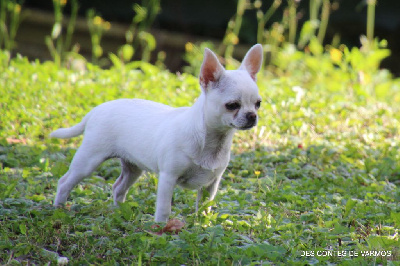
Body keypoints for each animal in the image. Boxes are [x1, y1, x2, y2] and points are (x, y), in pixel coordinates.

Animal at [50, 44, 262, 222]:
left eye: (258, 104)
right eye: (232, 105)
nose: (252, 116)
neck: (212, 140)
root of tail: (96, 109)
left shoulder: (211, 184)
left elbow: (204, 208)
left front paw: (202, 225)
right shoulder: (168, 178)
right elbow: (164, 209)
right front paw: (161, 229)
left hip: (133, 168)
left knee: (118, 188)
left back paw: (119, 212)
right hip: (88, 161)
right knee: (64, 182)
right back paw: (58, 209)